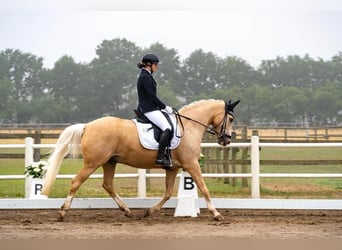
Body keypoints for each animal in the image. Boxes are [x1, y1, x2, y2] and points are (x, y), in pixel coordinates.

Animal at [42, 99, 240, 221]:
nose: (226, 140)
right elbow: (204, 188)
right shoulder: (191, 164)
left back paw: (127, 211)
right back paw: (62, 213)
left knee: (108, 184)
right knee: (76, 182)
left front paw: (149, 211)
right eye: (230, 118)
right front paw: (216, 214)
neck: (189, 127)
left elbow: (168, 193)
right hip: (93, 163)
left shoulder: (173, 168)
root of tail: (87, 126)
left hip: (109, 162)